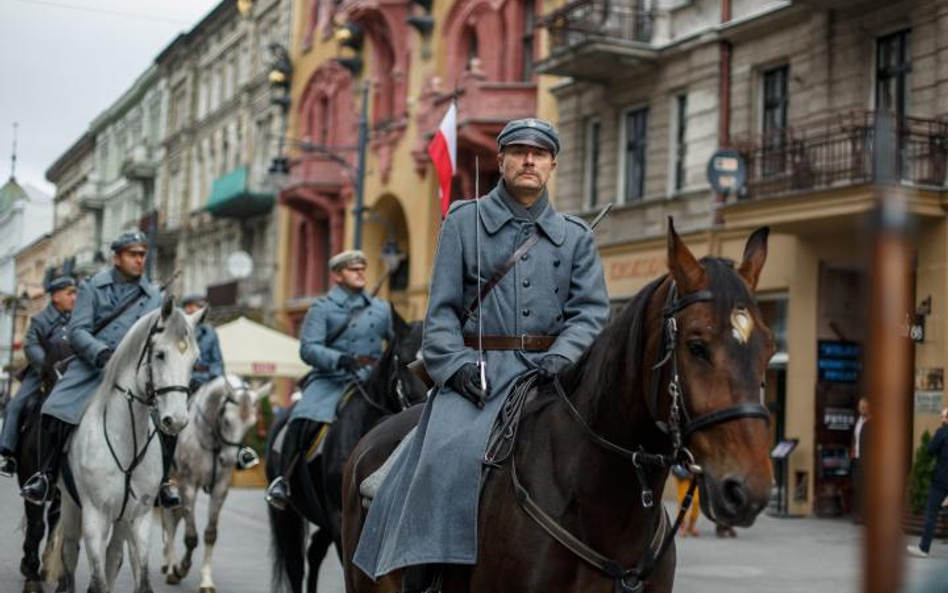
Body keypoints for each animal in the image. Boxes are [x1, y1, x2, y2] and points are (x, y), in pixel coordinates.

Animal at [47, 298, 201, 592]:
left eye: (194, 359)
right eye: (160, 354)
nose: (176, 420)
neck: (127, 444)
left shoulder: (139, 517)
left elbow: (141, 580)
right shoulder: (95, 517)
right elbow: (97, 581)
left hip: (120, 520)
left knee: (114, 555)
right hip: (71, 505)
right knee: (69, 552)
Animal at [162, 374, 272, 592]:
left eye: (251, 423)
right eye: (227, 421)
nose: (228, 460)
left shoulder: (220, 488)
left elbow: (210, 534)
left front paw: (206, 580)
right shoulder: (188, 486)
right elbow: (191, 537)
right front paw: (181, 569)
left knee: (174, 518)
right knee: (169, 524)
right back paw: (170, 568)